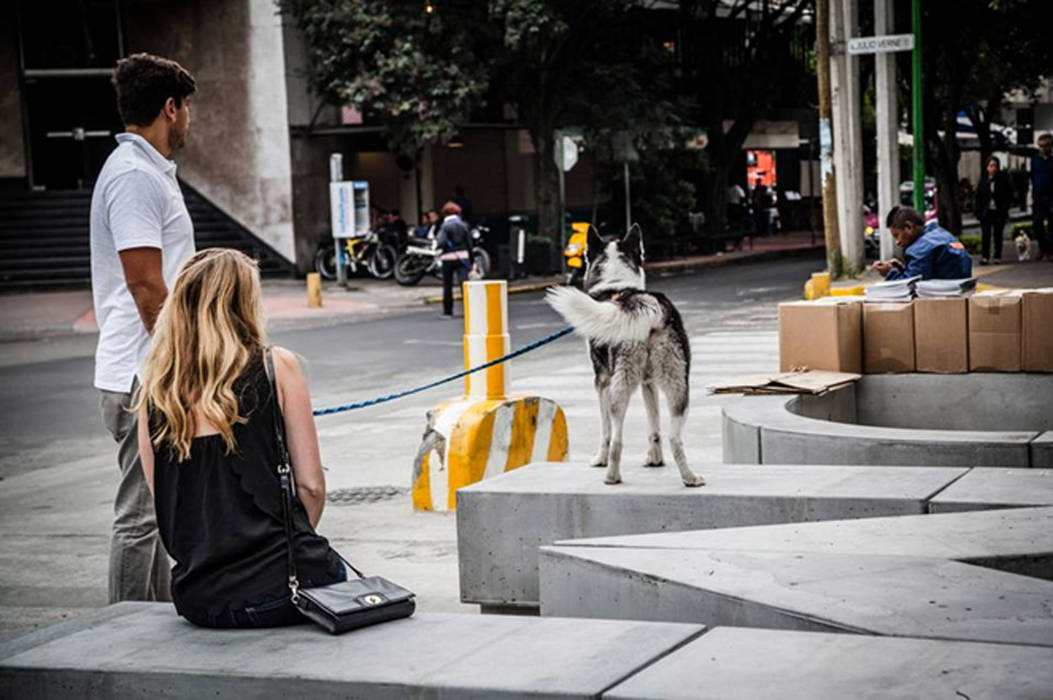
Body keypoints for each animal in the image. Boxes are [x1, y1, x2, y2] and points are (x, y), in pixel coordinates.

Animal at [547, 224, 703, 486]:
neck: (616, 285)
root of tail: (650, 304)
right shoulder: (649, 383)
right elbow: (654, 427)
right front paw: (654, 459)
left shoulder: (602, 381)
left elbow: (605, 432)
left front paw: (599, 460)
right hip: (679, 386)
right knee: (674, 437)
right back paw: (690, 478)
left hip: (619, 387)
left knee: (617, 438)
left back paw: (611, 475)